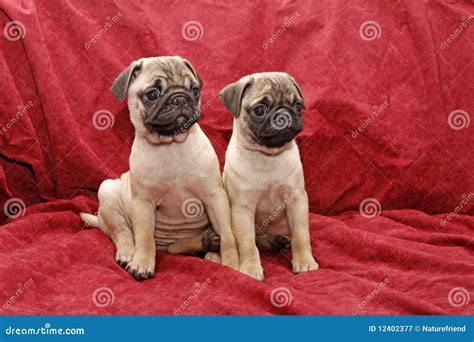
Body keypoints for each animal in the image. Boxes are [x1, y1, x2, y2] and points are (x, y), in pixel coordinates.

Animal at [80, 56, 241, 280]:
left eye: (194, 90)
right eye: (152, 94)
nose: (180, 98)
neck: (170, 145)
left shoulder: (215, 197)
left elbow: (228, 235)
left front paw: (232, 264)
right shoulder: (143, 203)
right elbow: (144, 237)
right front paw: (142, 263)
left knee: (178, 246)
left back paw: (209, 244)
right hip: (107, 191)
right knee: (122, 233)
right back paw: (128, 253)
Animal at [219, 72, 318, 280]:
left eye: (297, 105)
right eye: (259, 110)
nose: (284, 114)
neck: (268, 156)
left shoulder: (296, 201)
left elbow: (301, 235)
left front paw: (304, 261)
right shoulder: (243, 209)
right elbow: (247, 243)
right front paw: (250, 268)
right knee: (256, 240)